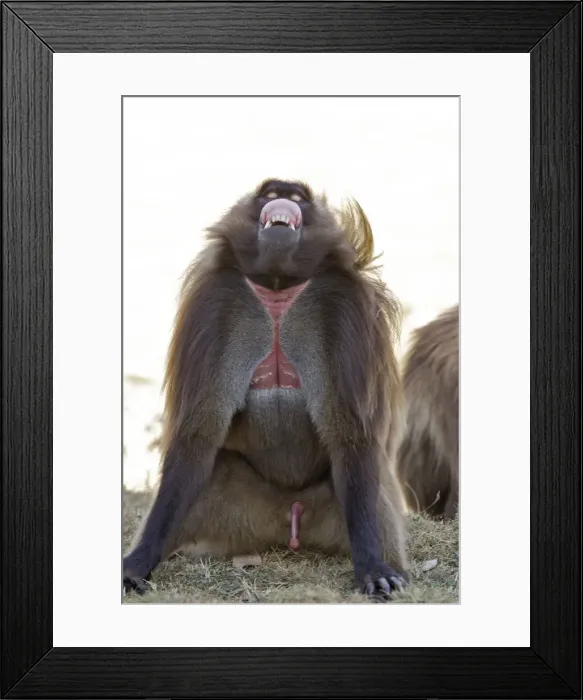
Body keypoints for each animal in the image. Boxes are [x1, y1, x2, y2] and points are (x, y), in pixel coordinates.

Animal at [123, 178, 409, 600]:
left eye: (297, 198)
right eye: (270, 194)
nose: (284, 190)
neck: (277, 289)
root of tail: (285, 521)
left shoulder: (344, 307)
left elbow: (351, 435)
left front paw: (373, 568)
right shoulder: (217, 301)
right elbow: (198, 434)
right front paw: (138, 561)